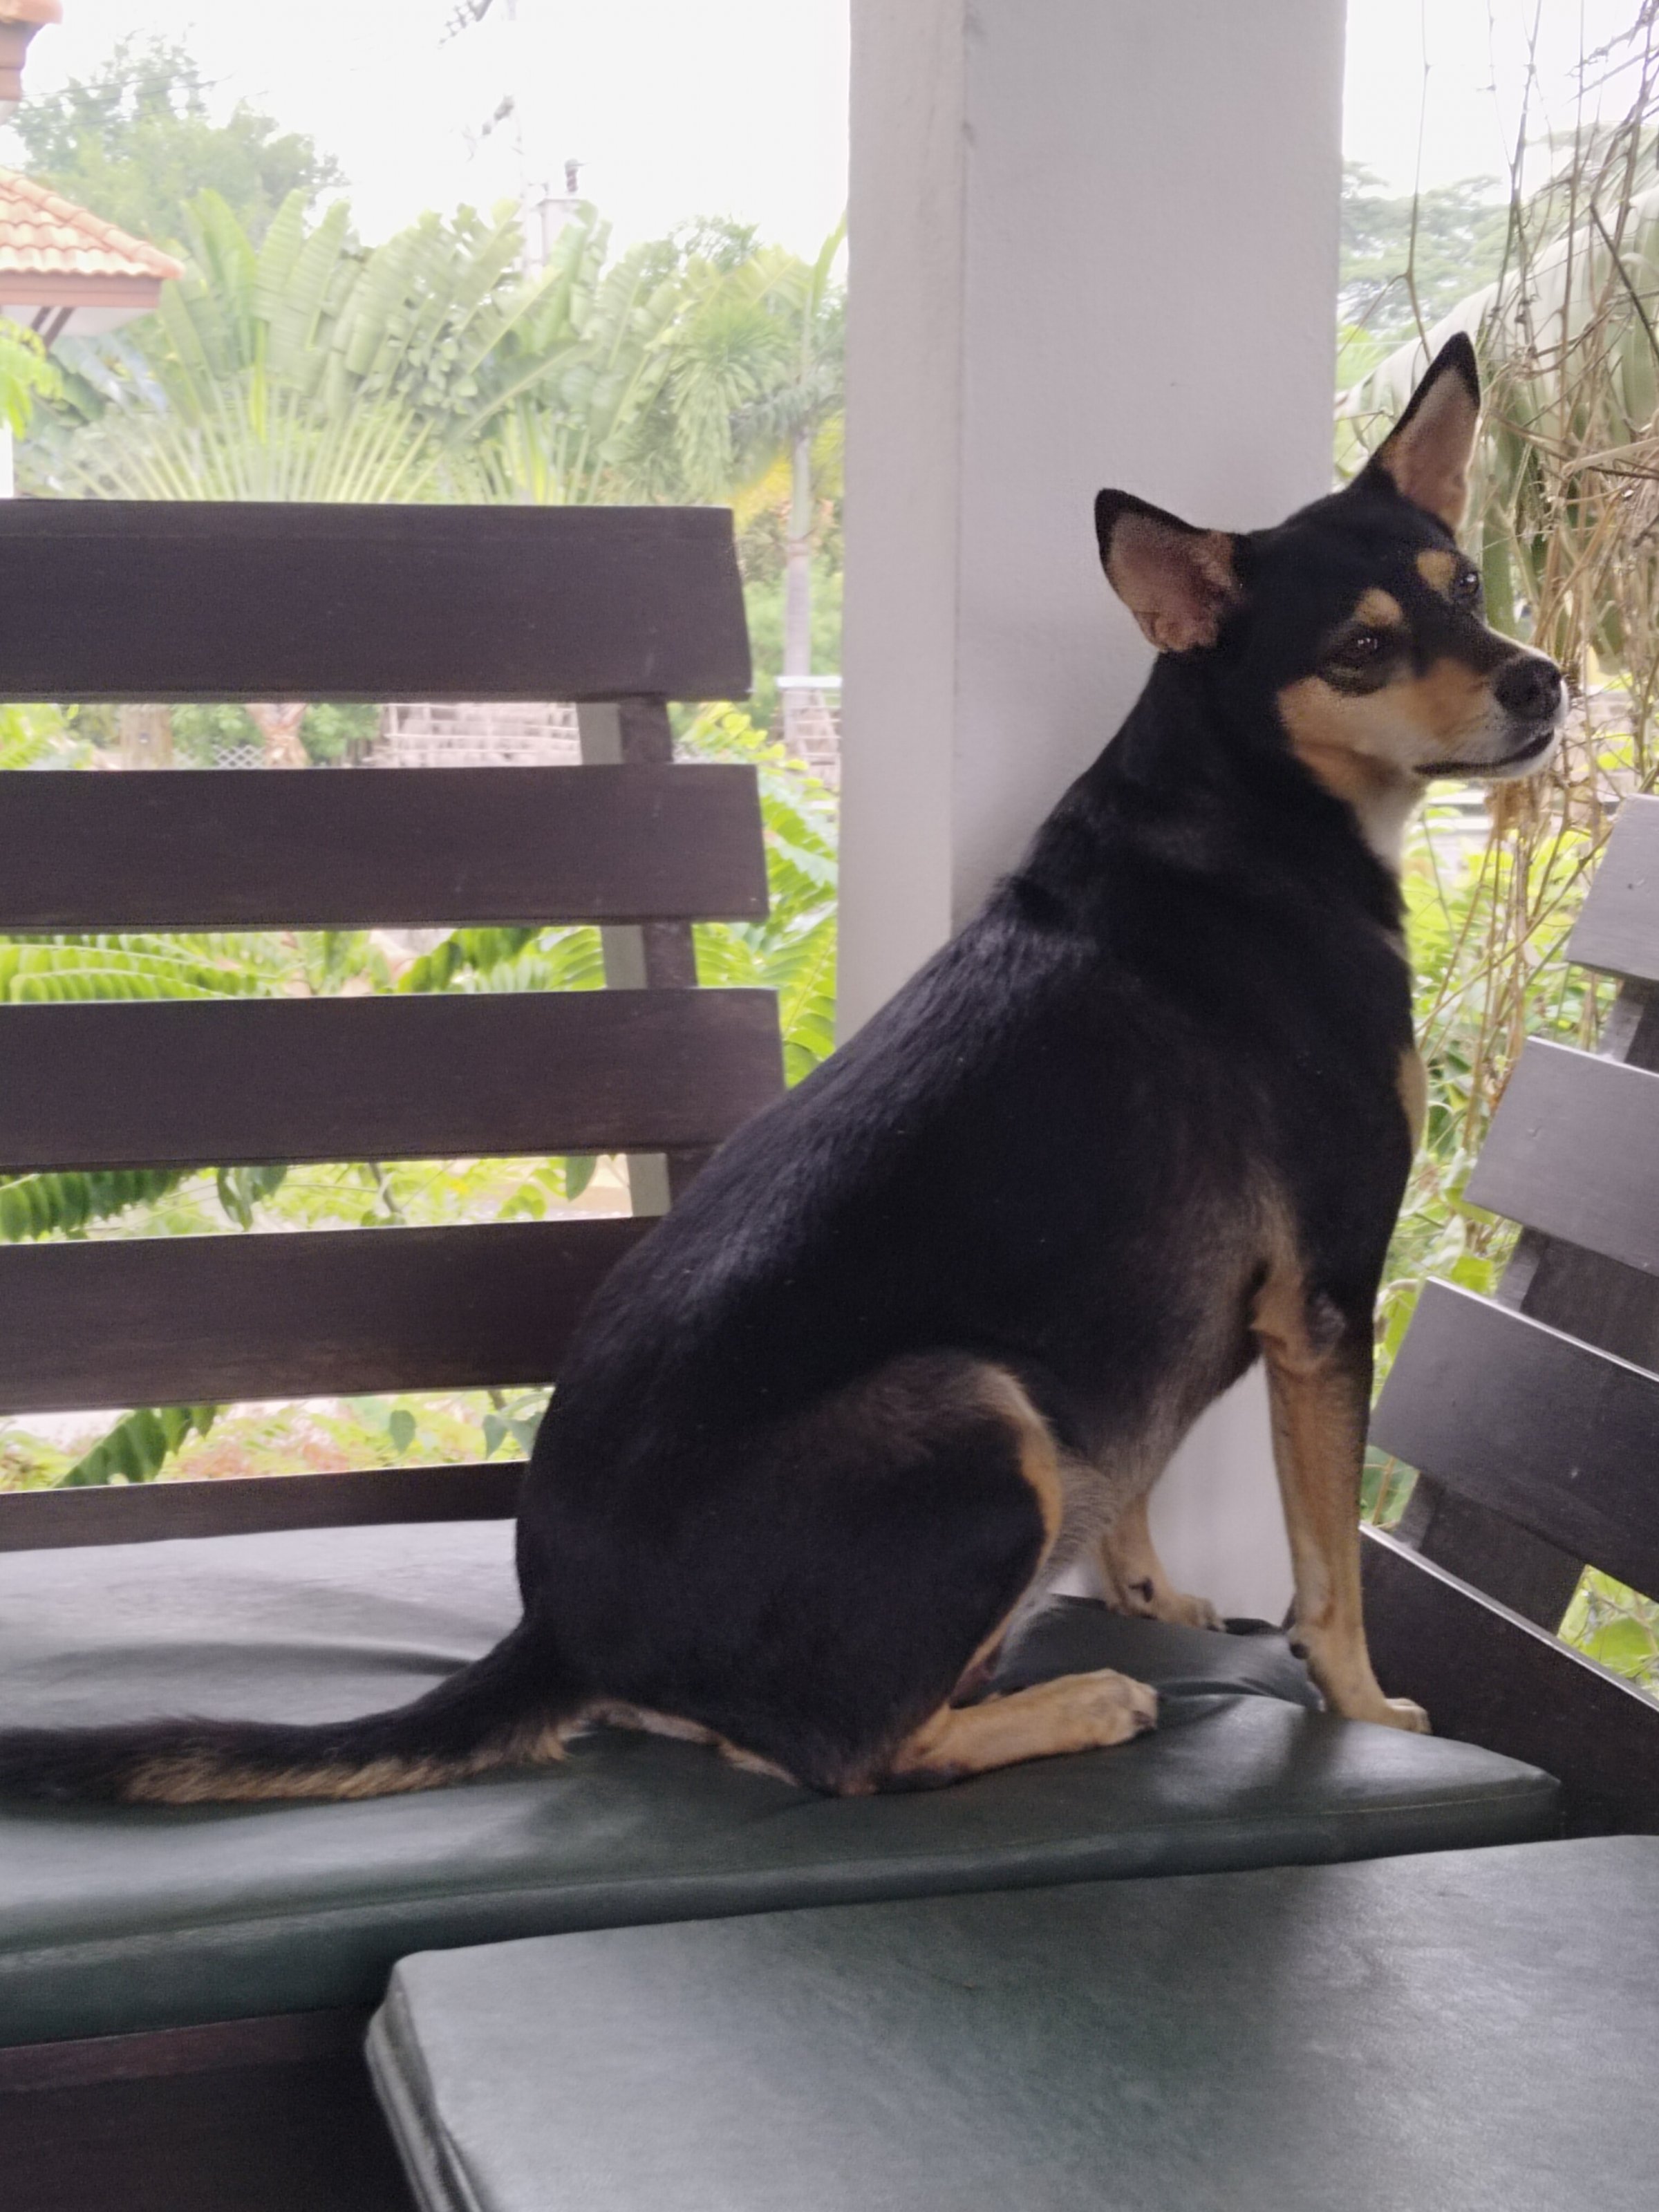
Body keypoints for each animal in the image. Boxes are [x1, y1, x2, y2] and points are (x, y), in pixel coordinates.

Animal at [0, 334, 1565, 1805]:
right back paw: (1080, 1703)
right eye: (1359, 650)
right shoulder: (1325, 1302)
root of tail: (562, 1632)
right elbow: (1330, 1568)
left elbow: (1137, 1493)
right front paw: (1367, 1710)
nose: (1542, 678)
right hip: (983, 1415)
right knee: (851, 1754)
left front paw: (1162, 1602)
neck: (1247, 805)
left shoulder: (1153, 1328)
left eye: (1468, 580)